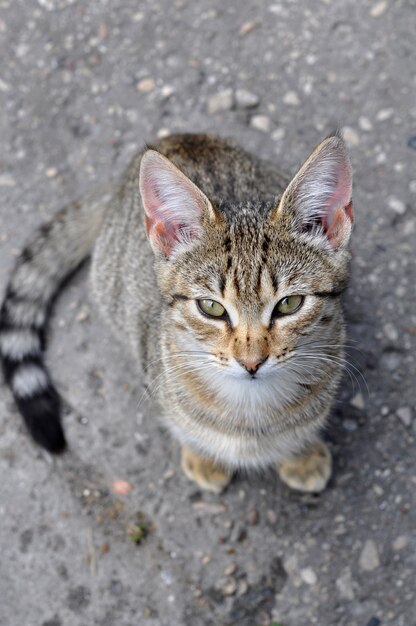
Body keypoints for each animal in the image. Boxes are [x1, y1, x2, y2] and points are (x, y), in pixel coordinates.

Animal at [0, 133, 352, 492]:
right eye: (211, 307)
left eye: (289, 304)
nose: (251, 362)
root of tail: (176, 137)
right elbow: (182, 425)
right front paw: (202, 456)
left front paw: (300, 453)